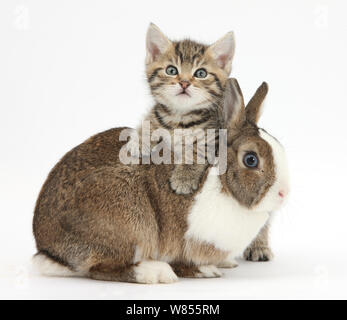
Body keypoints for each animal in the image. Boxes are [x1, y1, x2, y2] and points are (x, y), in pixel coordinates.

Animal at [32, 79, 290, 284]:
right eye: (250, 159)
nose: (283, 193)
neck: (222, 183)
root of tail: (47, 247)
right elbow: (183, 261)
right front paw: (205, 271)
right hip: (130, 221)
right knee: (100, 268)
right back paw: (154, 273)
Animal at [136, 23, 237, 194]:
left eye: (201, 73)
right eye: (171, 70)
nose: (184, 83)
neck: (179, 117)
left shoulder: (215, 135)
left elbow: (199, 150)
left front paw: (184, 177)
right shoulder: (157, 114)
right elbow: (150, 121)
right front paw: (138, 141)